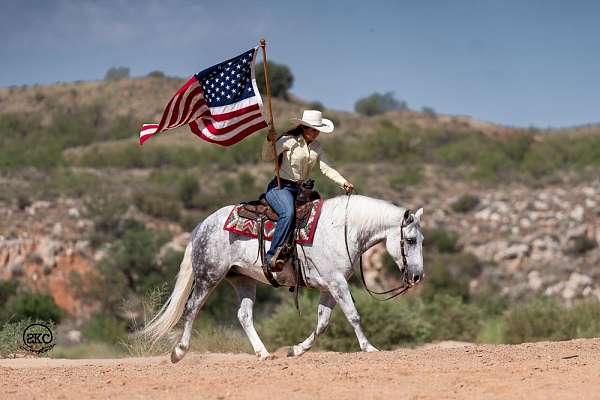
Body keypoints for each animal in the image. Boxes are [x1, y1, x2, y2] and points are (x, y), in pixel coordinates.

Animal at [138, 195, 424, 362]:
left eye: (422, 239)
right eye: (410, 240)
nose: (417, 276)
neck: (343, 228)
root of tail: (201, 227)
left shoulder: (330, 287)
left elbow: (322, 323)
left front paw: (295, 349)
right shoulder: (337, 283)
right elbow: (353, 315)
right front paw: (369, 348)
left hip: (242, 280)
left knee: (243, 316)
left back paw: (264, 353)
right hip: (209, 276)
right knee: (192, 308)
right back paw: (179, 352)